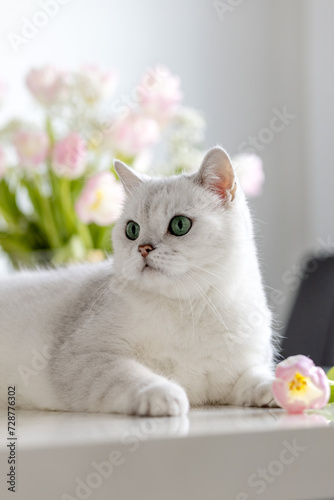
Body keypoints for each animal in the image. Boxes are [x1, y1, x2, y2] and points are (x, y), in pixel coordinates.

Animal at [0, 147, 276, 414]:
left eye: (180, 224)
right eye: (132, 230)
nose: (143, 248)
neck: (189, 308)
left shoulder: (242, 368)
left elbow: (257, 376)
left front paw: (279, 387)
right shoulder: (83, 358)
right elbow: (131, 374)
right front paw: (164, 394)